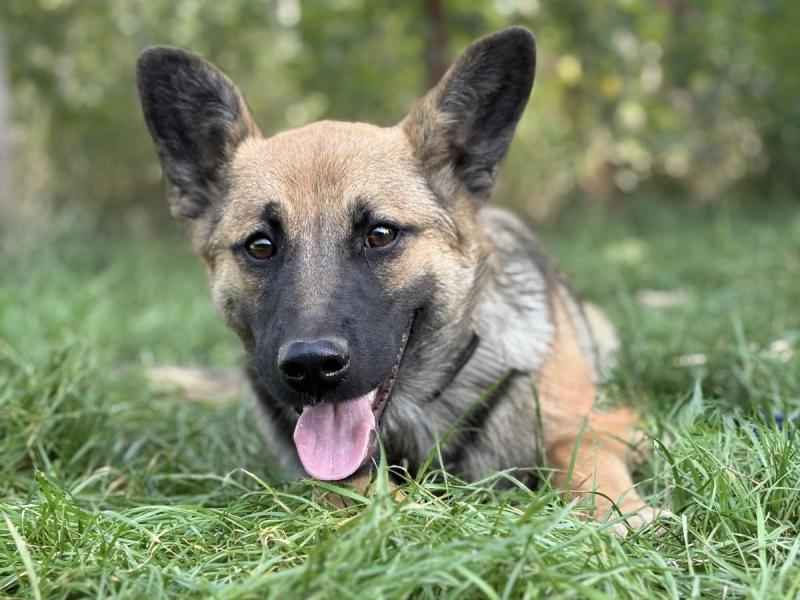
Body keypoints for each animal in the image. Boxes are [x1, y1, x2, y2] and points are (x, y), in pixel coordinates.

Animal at [136, 26, 662, 531]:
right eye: (260, 246)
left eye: (380, 235)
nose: (311, 366)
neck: (423, 402)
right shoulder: (332, 473)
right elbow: (365, 487)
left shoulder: (600, 423)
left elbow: (584, 458)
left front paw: (620, 511)